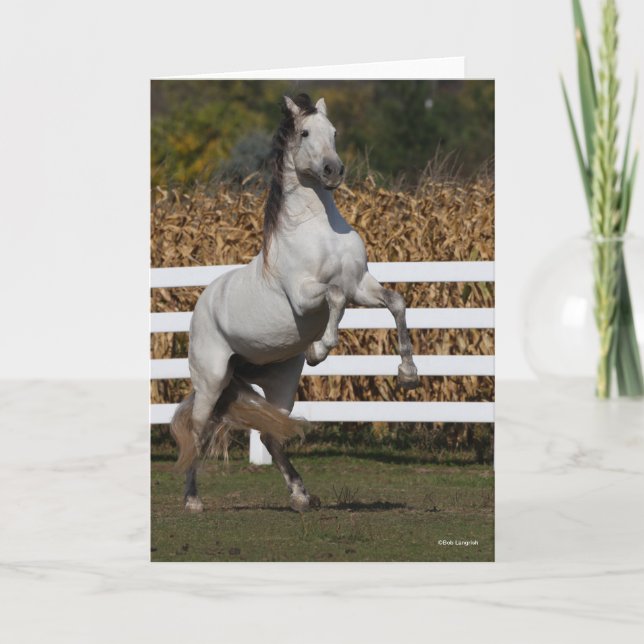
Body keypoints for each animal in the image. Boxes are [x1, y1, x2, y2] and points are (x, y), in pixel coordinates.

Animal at [171, 93, 420, 513]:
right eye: (304, 132)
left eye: (334, 132)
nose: (334, 170)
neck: (319, 229)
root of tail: (203, 302)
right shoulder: (307, 295)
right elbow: (334, 298)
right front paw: (319, 350)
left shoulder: (360, 285)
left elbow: (396, 302)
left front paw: (408, 373)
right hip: (211, 380)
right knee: (199, 432)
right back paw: (191, 501)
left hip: (281, 381)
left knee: (271, 436)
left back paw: (302, 496)